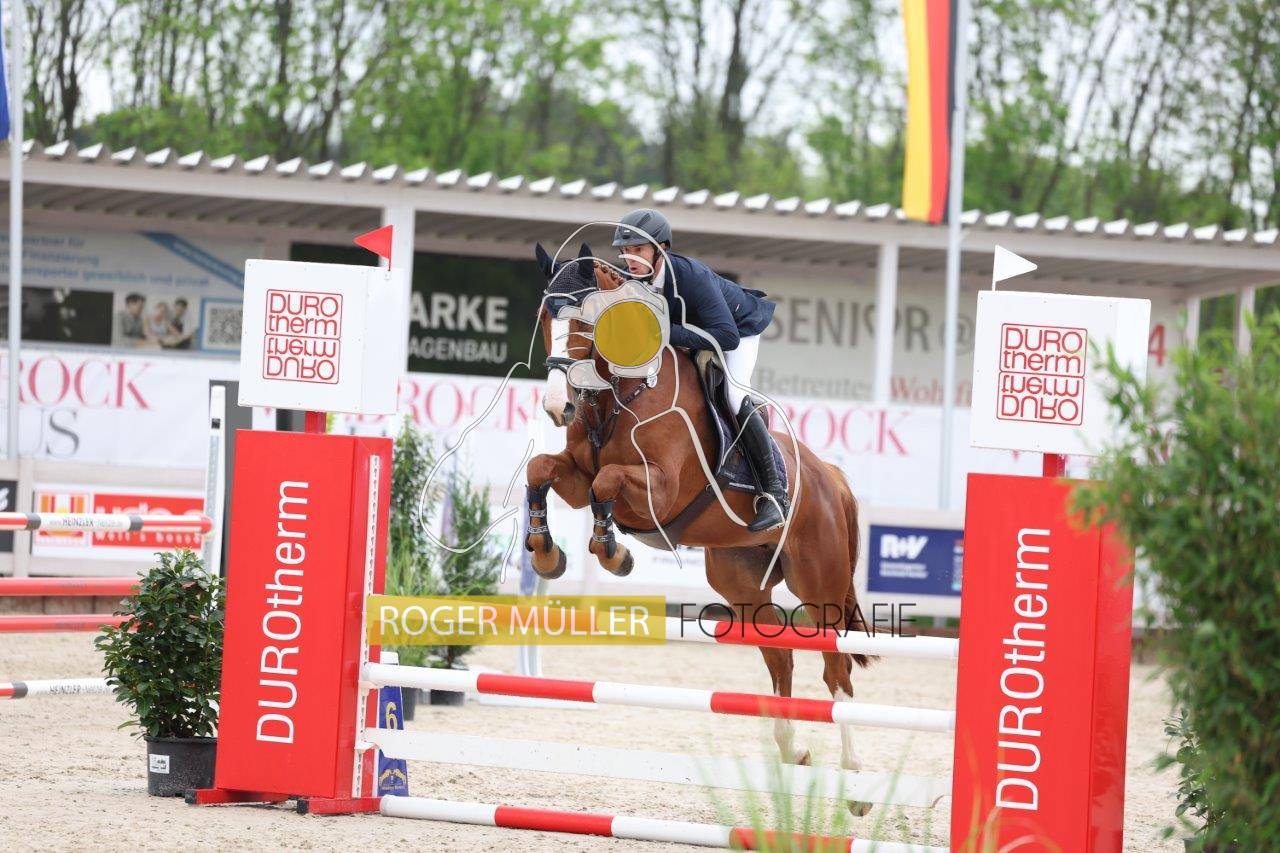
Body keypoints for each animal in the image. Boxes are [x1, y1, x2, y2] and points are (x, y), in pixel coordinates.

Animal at [523, 243, 876, 812]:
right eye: (543, 317)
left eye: (585, 322)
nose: (560, 406)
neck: (616, 394)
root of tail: (832, 478)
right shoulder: (574, 475)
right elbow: (545, 472)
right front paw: (547, 552)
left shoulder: (660, 488)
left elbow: (606, 480)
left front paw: (613, 552)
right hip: (740, 581)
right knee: (780, 657)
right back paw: (792, 751)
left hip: (819, 583)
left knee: (835, 670)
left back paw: (856, 781)